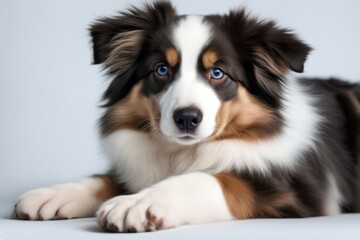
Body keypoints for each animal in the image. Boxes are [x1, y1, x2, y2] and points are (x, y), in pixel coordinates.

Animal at [12, 0, 358, 232]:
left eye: (217, 73)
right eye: (162, 70)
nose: (187, 118)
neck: (182, 151)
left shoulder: (297, 190)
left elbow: (213, 178)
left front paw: (138, 203)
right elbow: (106, 179)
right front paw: (51, 195)